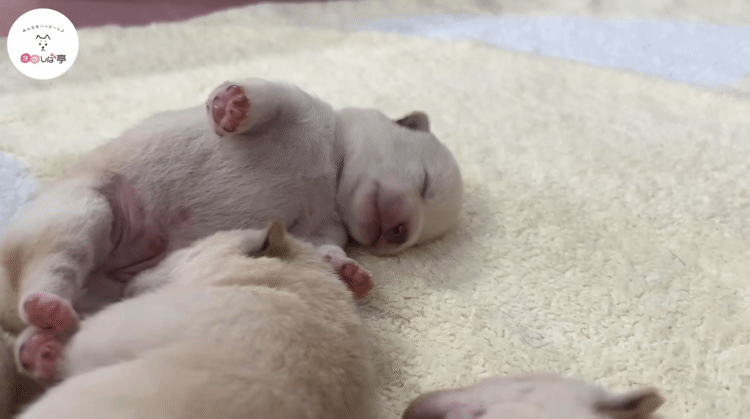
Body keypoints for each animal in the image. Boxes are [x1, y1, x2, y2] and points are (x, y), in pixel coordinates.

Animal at [0, 78, 463, 388]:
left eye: (416, 239)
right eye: (424, 183)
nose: (398, 234)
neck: (331, 170)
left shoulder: (319, 226)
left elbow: (326, 249)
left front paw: (351, 273)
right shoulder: (298, 105)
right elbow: (266, 97)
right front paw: (233, 107)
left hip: (111, 297)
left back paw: (42, 350)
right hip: (82, 209)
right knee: (51, 267)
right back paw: (46, 308)